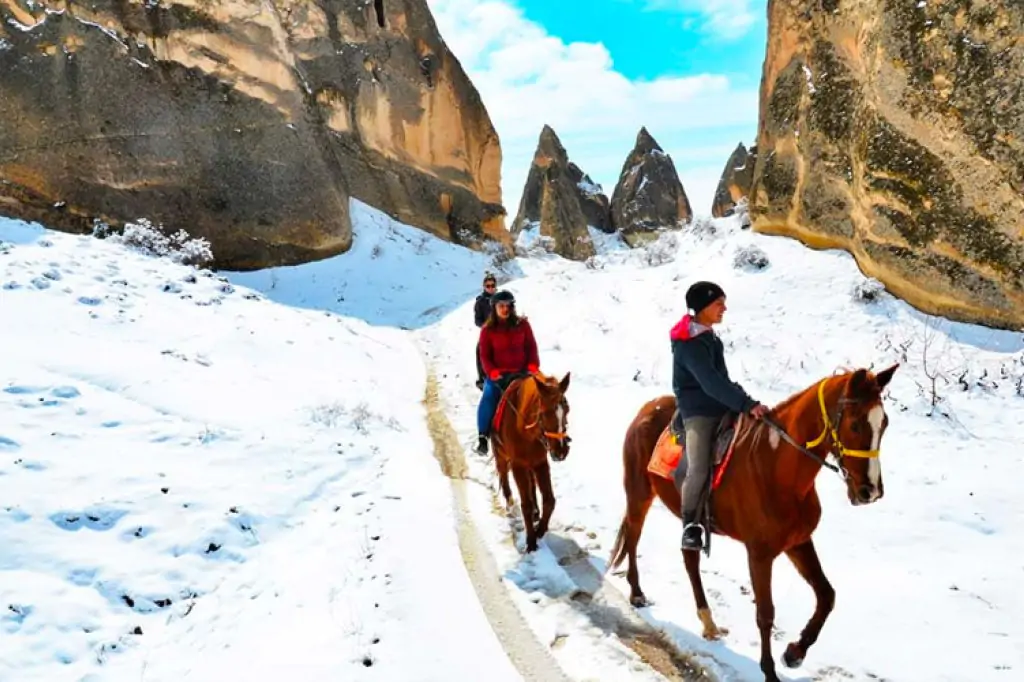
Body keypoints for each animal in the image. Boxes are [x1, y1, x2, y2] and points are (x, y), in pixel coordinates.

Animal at [491, 368, 573, 548]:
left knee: (531, 484)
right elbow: (526, 504)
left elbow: (549, 500)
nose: (561, 451)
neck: (526, 430)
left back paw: (536, 512)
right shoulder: (518, 465)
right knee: (503, 475)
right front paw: (531, 542)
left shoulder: (540, 462)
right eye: (543, 413)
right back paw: (510, 504)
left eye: (567, 410)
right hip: (500, 455)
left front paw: (540, 530)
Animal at [606, 366, 897, 679]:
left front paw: (794, 653)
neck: (777, 467)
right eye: (855, 425)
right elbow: (766, 613)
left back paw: (708, 622)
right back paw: (637, 593)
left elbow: (826, 595)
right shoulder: (759, 553)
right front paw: (769, 671)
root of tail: (647, 408)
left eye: (884, 424)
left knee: (689, 557)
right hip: (639, 493)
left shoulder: (798, 542)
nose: (870, 491)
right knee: (634, 536)